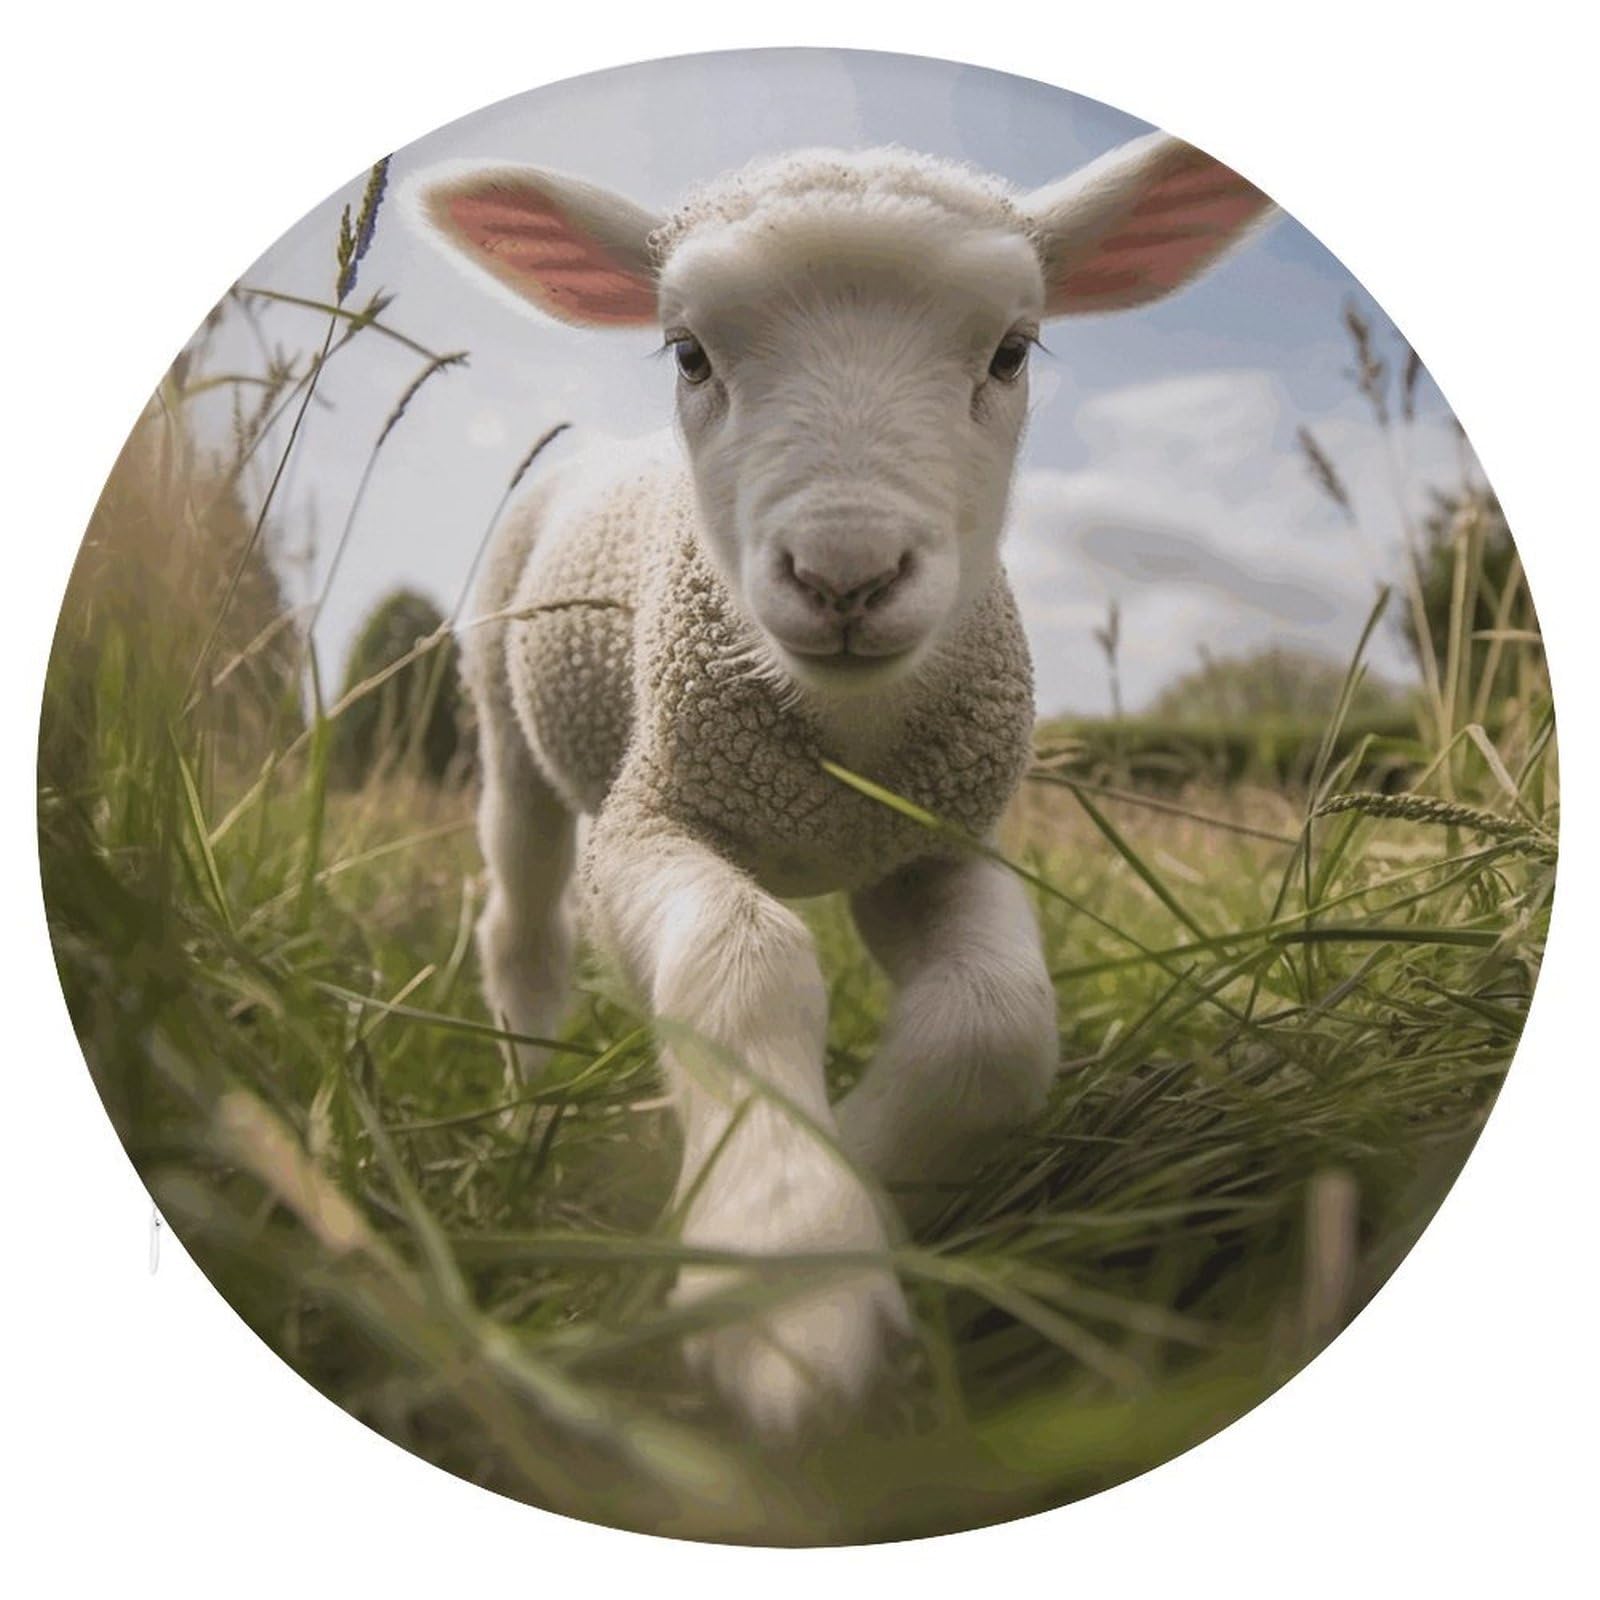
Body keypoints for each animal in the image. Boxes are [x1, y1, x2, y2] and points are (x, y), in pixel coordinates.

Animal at [409, 132, 1275, 1434]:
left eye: (1011, 349)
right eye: (690, 352)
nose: (845, 574)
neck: (839, 746)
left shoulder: (935, 840)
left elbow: (993, 1026)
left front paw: (861, 1171)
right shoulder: (650, 817)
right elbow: (742, 959)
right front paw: (786, 1265)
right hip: (510, 726)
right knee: (523, 928)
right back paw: (526, 1115)